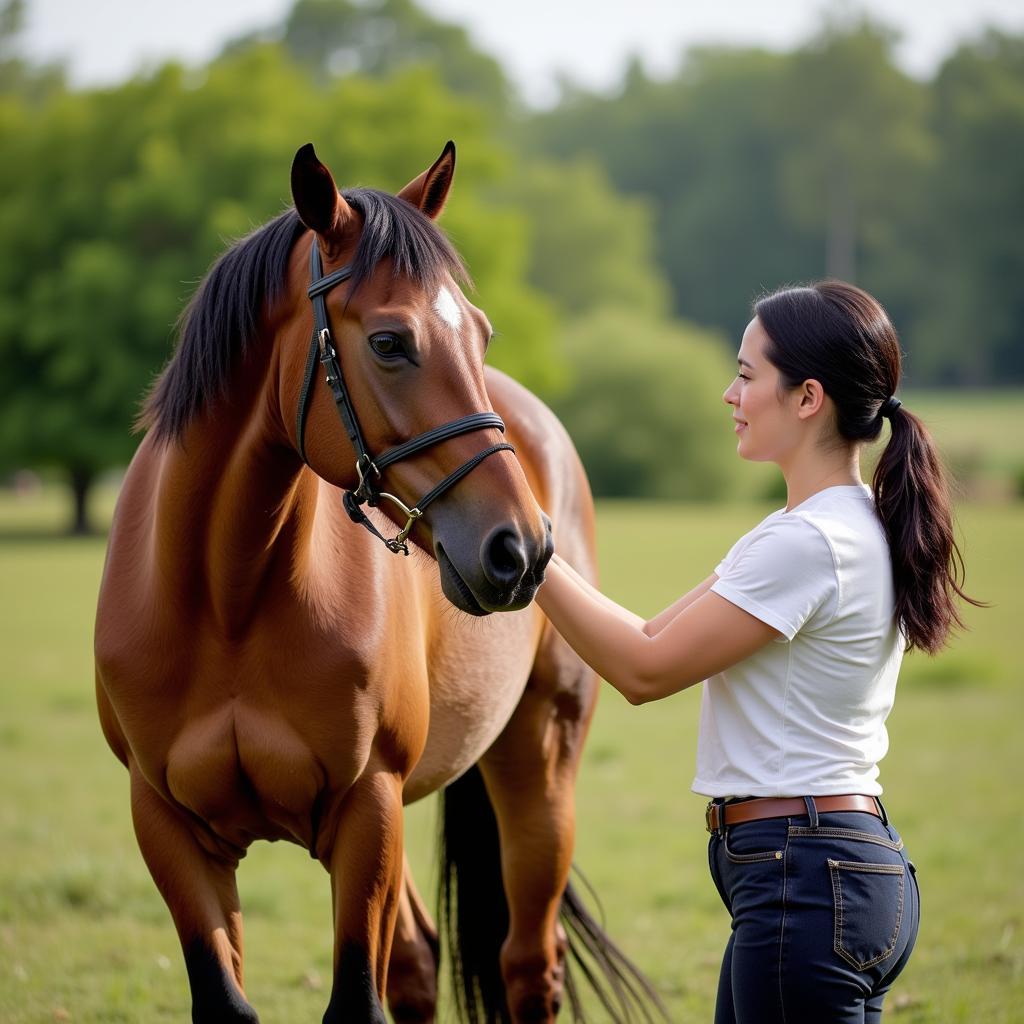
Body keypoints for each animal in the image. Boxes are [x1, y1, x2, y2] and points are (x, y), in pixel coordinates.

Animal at [94, 142, 655, 1024]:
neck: (224, 601)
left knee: (529, 964)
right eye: (390, 342)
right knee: (422, 960)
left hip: (538, 769)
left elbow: (357, 999)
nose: (521, 550)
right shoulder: (168, 827)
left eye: (482, 333)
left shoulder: (368, 810)